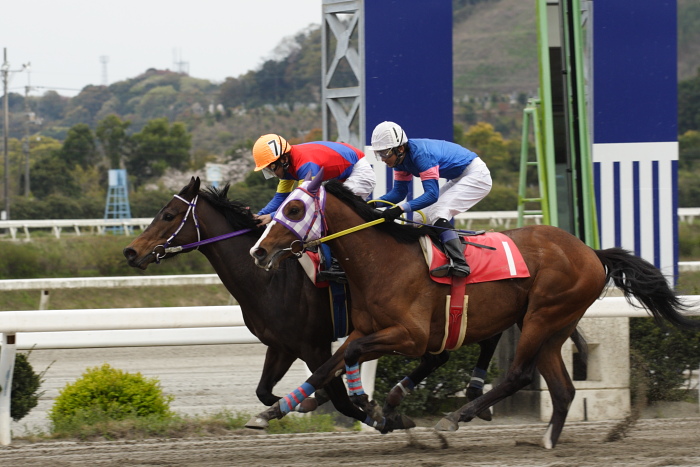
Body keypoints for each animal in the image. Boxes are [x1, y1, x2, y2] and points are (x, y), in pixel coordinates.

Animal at [123, 178, 500, 432]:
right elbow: (264, 391)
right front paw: (303, 403)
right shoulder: (282, 345)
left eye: (169, 215)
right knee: (442, 354)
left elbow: (339, 397)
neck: (269, 280)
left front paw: (377, 416)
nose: (130, 251)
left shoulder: (313, 345)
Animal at [249, 175, 696, 450]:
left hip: (542, 316)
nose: (259, 250)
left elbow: (353, 359)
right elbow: (330, 365)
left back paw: (458, 415)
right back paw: (545, 440)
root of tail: (590, 252)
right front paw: (275, 410)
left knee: (518, 375)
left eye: (293, 210)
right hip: (551, 326)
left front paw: (372, 407)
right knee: (563, 389)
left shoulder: (409, 335)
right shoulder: (365, 331)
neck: (383, 261)